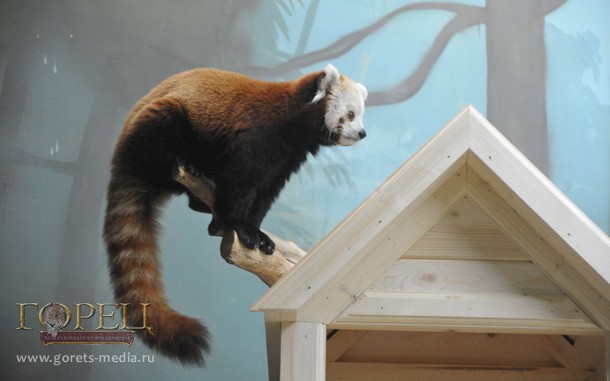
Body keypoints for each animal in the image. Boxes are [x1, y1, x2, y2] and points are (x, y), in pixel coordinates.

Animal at [102, 63, 366, 364]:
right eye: (351, 114)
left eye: (360, 115)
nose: (362, 133)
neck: (291, 124)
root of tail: (120, 155)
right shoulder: (253, 140)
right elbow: (239, 185)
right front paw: (240, 227)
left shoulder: (283, 161)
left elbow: (263, 197)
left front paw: (258, 233)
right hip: (163, 122)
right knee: (161, 141)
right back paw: (187, 168)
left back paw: (203, 205)